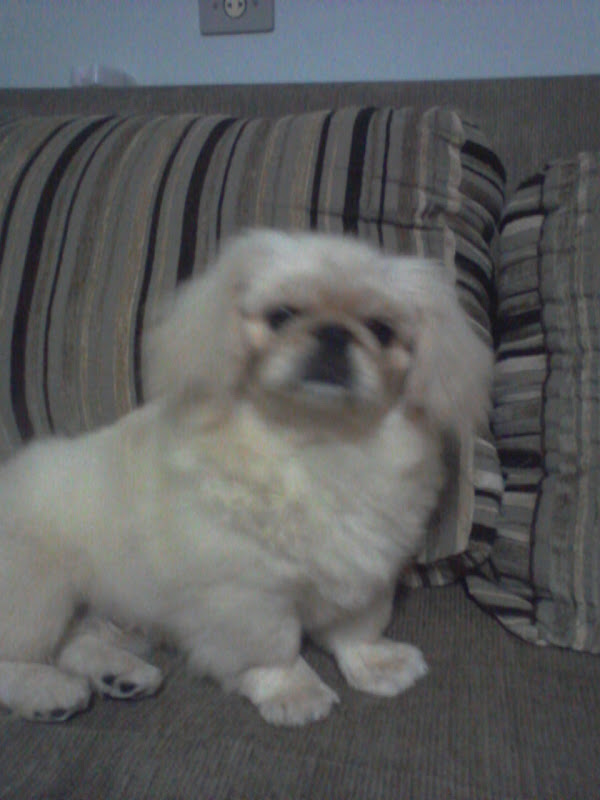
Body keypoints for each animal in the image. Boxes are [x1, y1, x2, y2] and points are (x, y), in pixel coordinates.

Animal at [0, 229, 492, 726]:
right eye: (282, 316)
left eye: (381, 330)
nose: (334, 331)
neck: (319, 443)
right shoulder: (246, 594)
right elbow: (274, 650)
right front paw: (293, 692)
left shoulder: (365, 570)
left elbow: (358, 629)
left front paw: (375, 663)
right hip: (39, 590)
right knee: (20, 655)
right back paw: (48, 691)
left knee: (78, 641)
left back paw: (119, 675)